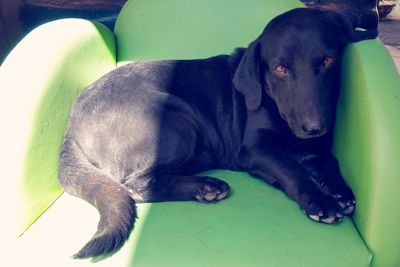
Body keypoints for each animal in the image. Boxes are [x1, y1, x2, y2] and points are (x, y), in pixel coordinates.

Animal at [57, 7, 376, 260]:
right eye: (279, 69)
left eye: (329, 61)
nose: (313, 127)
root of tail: (71, 124)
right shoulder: (255, 149)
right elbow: (291, 169)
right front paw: (319, 199)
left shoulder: (313, 147)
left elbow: (329, 160)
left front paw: (340, 190)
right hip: (176, 116)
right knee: (134, 185)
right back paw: (206, 187)